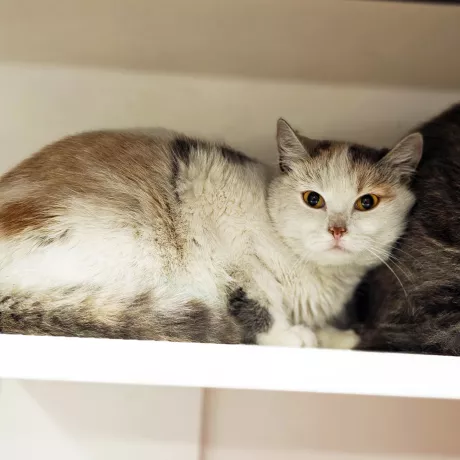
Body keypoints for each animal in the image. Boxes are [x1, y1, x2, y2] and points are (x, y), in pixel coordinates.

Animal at [0, 121, 422, 347]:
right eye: (313, 199)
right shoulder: (237, 252)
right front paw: (290, 336)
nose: (337, 229)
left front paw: (335, 337)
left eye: (366, 202)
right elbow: (258, 301)